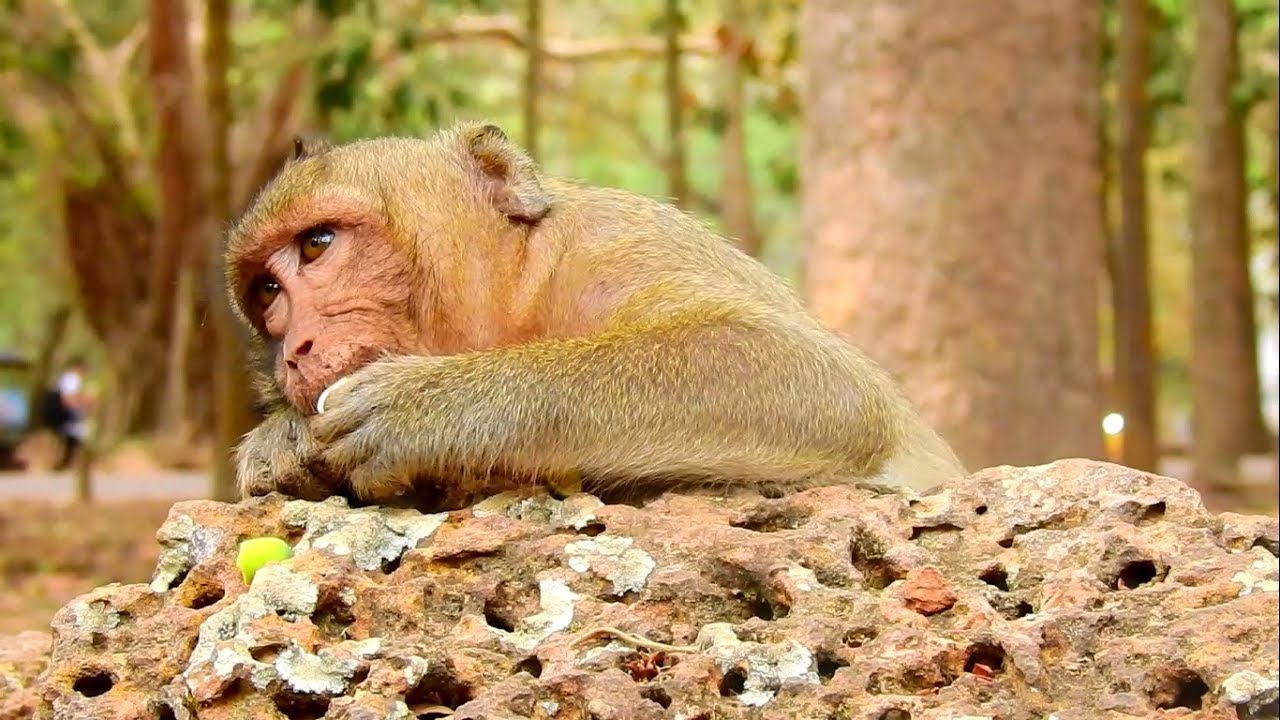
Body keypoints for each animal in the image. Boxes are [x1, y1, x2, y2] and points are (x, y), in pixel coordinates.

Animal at [222, 121, 967, 511]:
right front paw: (284, 443)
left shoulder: (618, 246)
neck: (523, 297)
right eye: (266, 291)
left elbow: (828, 388)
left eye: (317, 244)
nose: (295, 347)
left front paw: (424, 406)